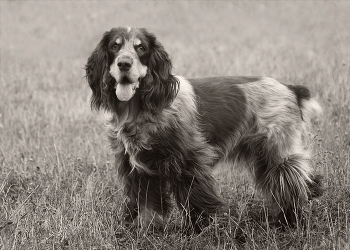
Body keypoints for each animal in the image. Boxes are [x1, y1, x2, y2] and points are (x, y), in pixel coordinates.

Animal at [84, 26, 322, 230]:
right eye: (114, 46)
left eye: (140, 47)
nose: (124, 64)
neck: (139, 110)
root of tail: (291, 88)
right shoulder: (138, 168)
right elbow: (147, 205)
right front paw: (146, 228)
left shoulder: (189, 160)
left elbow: (196, 198)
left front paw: (202, 228)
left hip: (278, 154)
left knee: (294, 186)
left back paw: (288, 221)